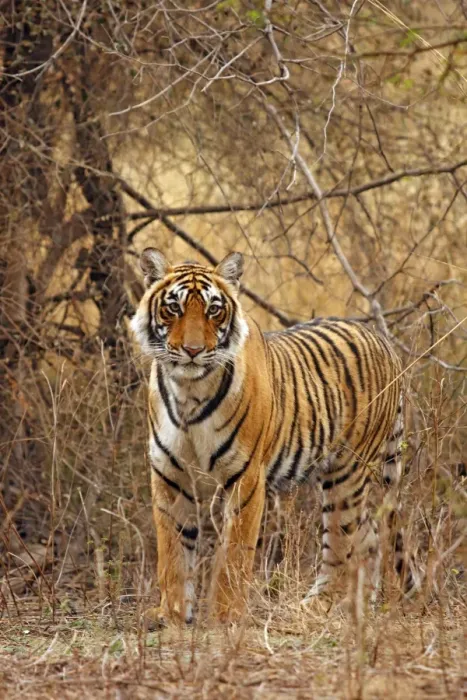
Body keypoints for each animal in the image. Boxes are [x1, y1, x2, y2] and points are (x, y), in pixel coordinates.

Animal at [130, 247, 415, 626]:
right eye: (173, 308)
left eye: (213, 309)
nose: (192, 350)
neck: (188, 390)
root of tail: (383, 340)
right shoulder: (169, 475)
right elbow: (172, 552)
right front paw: (172, 614)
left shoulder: (246, 477)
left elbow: (235, 553)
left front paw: (224, 616)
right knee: (368, 537)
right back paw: (360, 607)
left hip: (347, 473)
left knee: (345, 542)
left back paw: (318, 605)